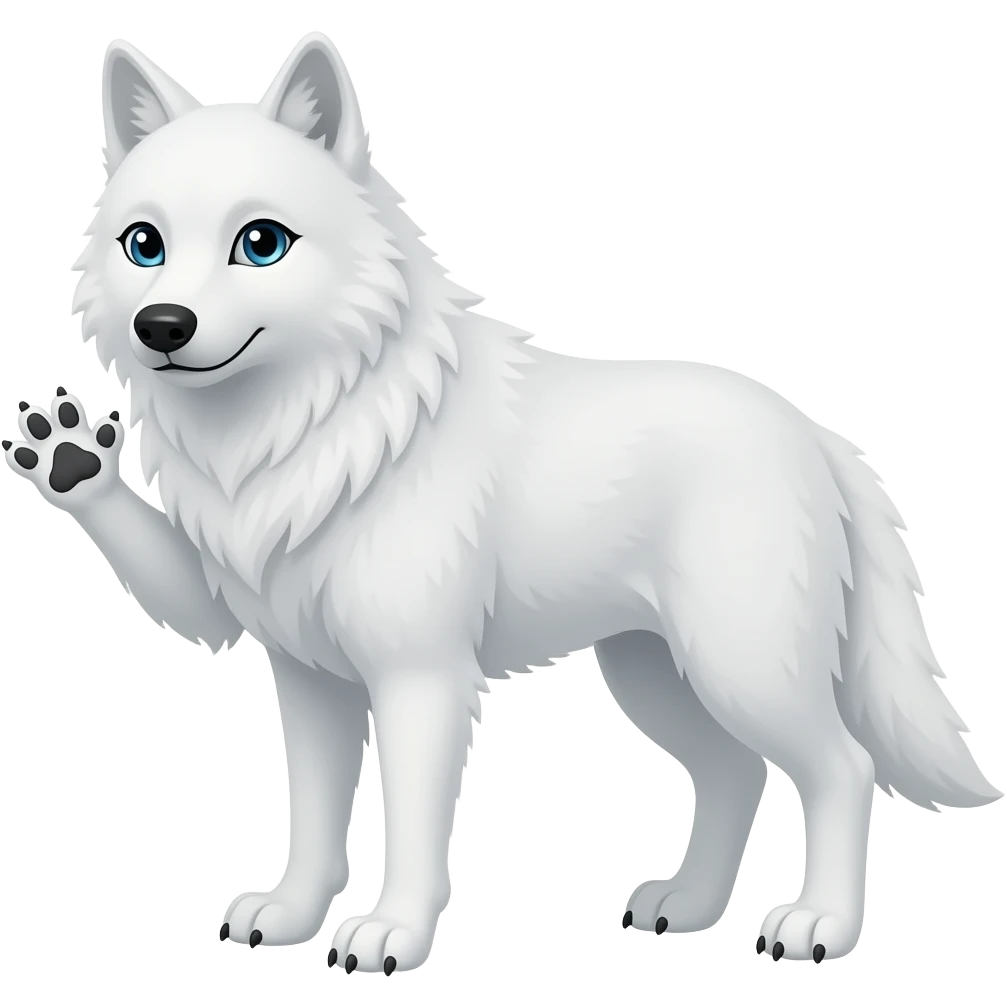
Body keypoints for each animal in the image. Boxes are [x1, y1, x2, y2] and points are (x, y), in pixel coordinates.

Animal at [5, 31, 999, 974]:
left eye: (261, 242)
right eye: (144, 244)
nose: (161, 327)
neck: (300, 433)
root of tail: (817, 432)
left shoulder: (420, 678)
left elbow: (407, 830)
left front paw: (390, 938)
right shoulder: (306, 677)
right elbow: (315, 821)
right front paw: (69, 457)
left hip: (740, 666)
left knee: (842, 767)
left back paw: (818, 924)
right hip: (656, 677)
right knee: (735, 772)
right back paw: (688, 905)